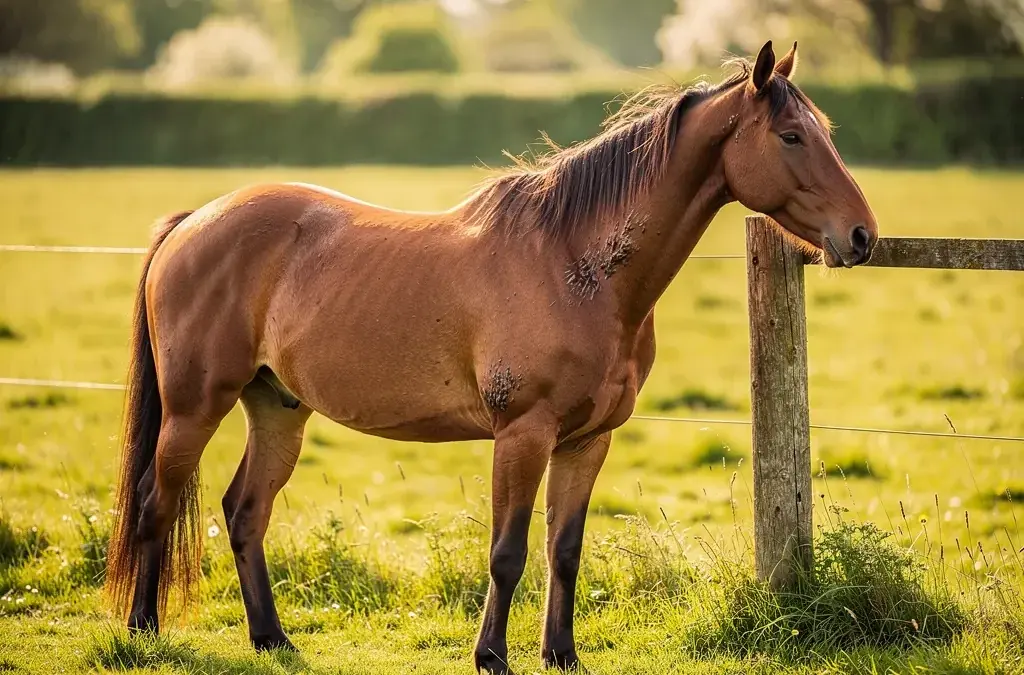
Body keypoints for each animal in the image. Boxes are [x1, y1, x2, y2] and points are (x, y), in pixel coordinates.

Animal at [105, 40, 877, 673]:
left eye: (824, 131)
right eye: (790, 135)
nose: (862, 237)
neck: (575, 265)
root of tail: (194, 222)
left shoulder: (588, 440)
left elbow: (564, 549)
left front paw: (562, 654)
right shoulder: (523, 434)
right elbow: (507, 553)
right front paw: (492, 656)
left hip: (278, 408)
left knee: (244, 511)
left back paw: (272, 637)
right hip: (193, 409)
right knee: (156, 502)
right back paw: (143, 631)